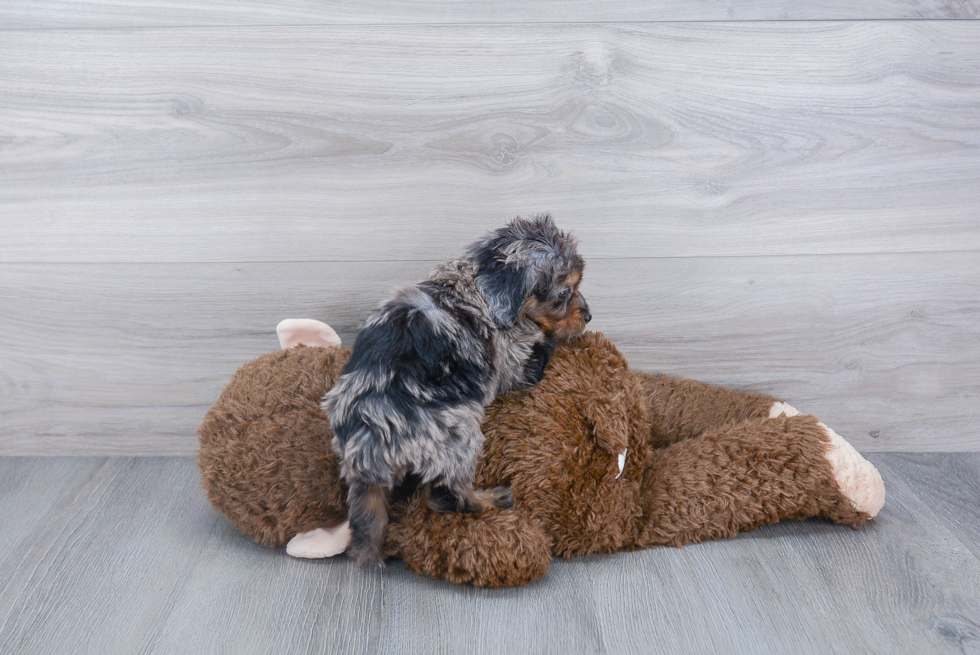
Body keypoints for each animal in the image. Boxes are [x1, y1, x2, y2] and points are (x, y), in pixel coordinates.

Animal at [326, 215, 592, 568]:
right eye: (564, 291)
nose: (589, 316)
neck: (477, 285)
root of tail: (371, 435)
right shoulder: (512, 361)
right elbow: (536, 355)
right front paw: (554, 342)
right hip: (458, 434)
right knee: (445, 495)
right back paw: (489, 499)